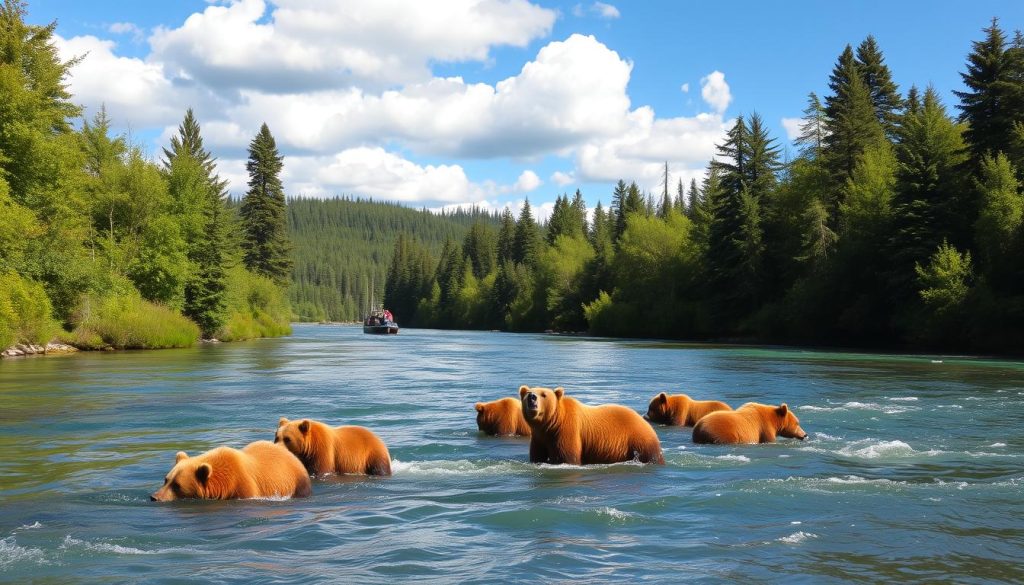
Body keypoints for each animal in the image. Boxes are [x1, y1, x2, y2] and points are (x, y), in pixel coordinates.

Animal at [519, 385, 664, 465]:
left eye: (544, 394)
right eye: (528, 393)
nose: (532, 397)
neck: (551, 423)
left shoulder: (567, 430)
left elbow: (567, 457)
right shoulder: (539, 436)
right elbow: (537, 454)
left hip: (639, 440)